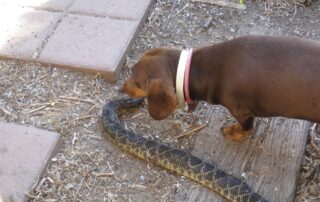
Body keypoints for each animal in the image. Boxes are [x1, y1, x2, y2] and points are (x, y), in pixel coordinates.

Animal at [122, 34, 320, 141]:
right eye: (130, 71)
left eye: (138, 83)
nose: (122, 88)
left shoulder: (242, 112)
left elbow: (246, 129)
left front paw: (233, 132)